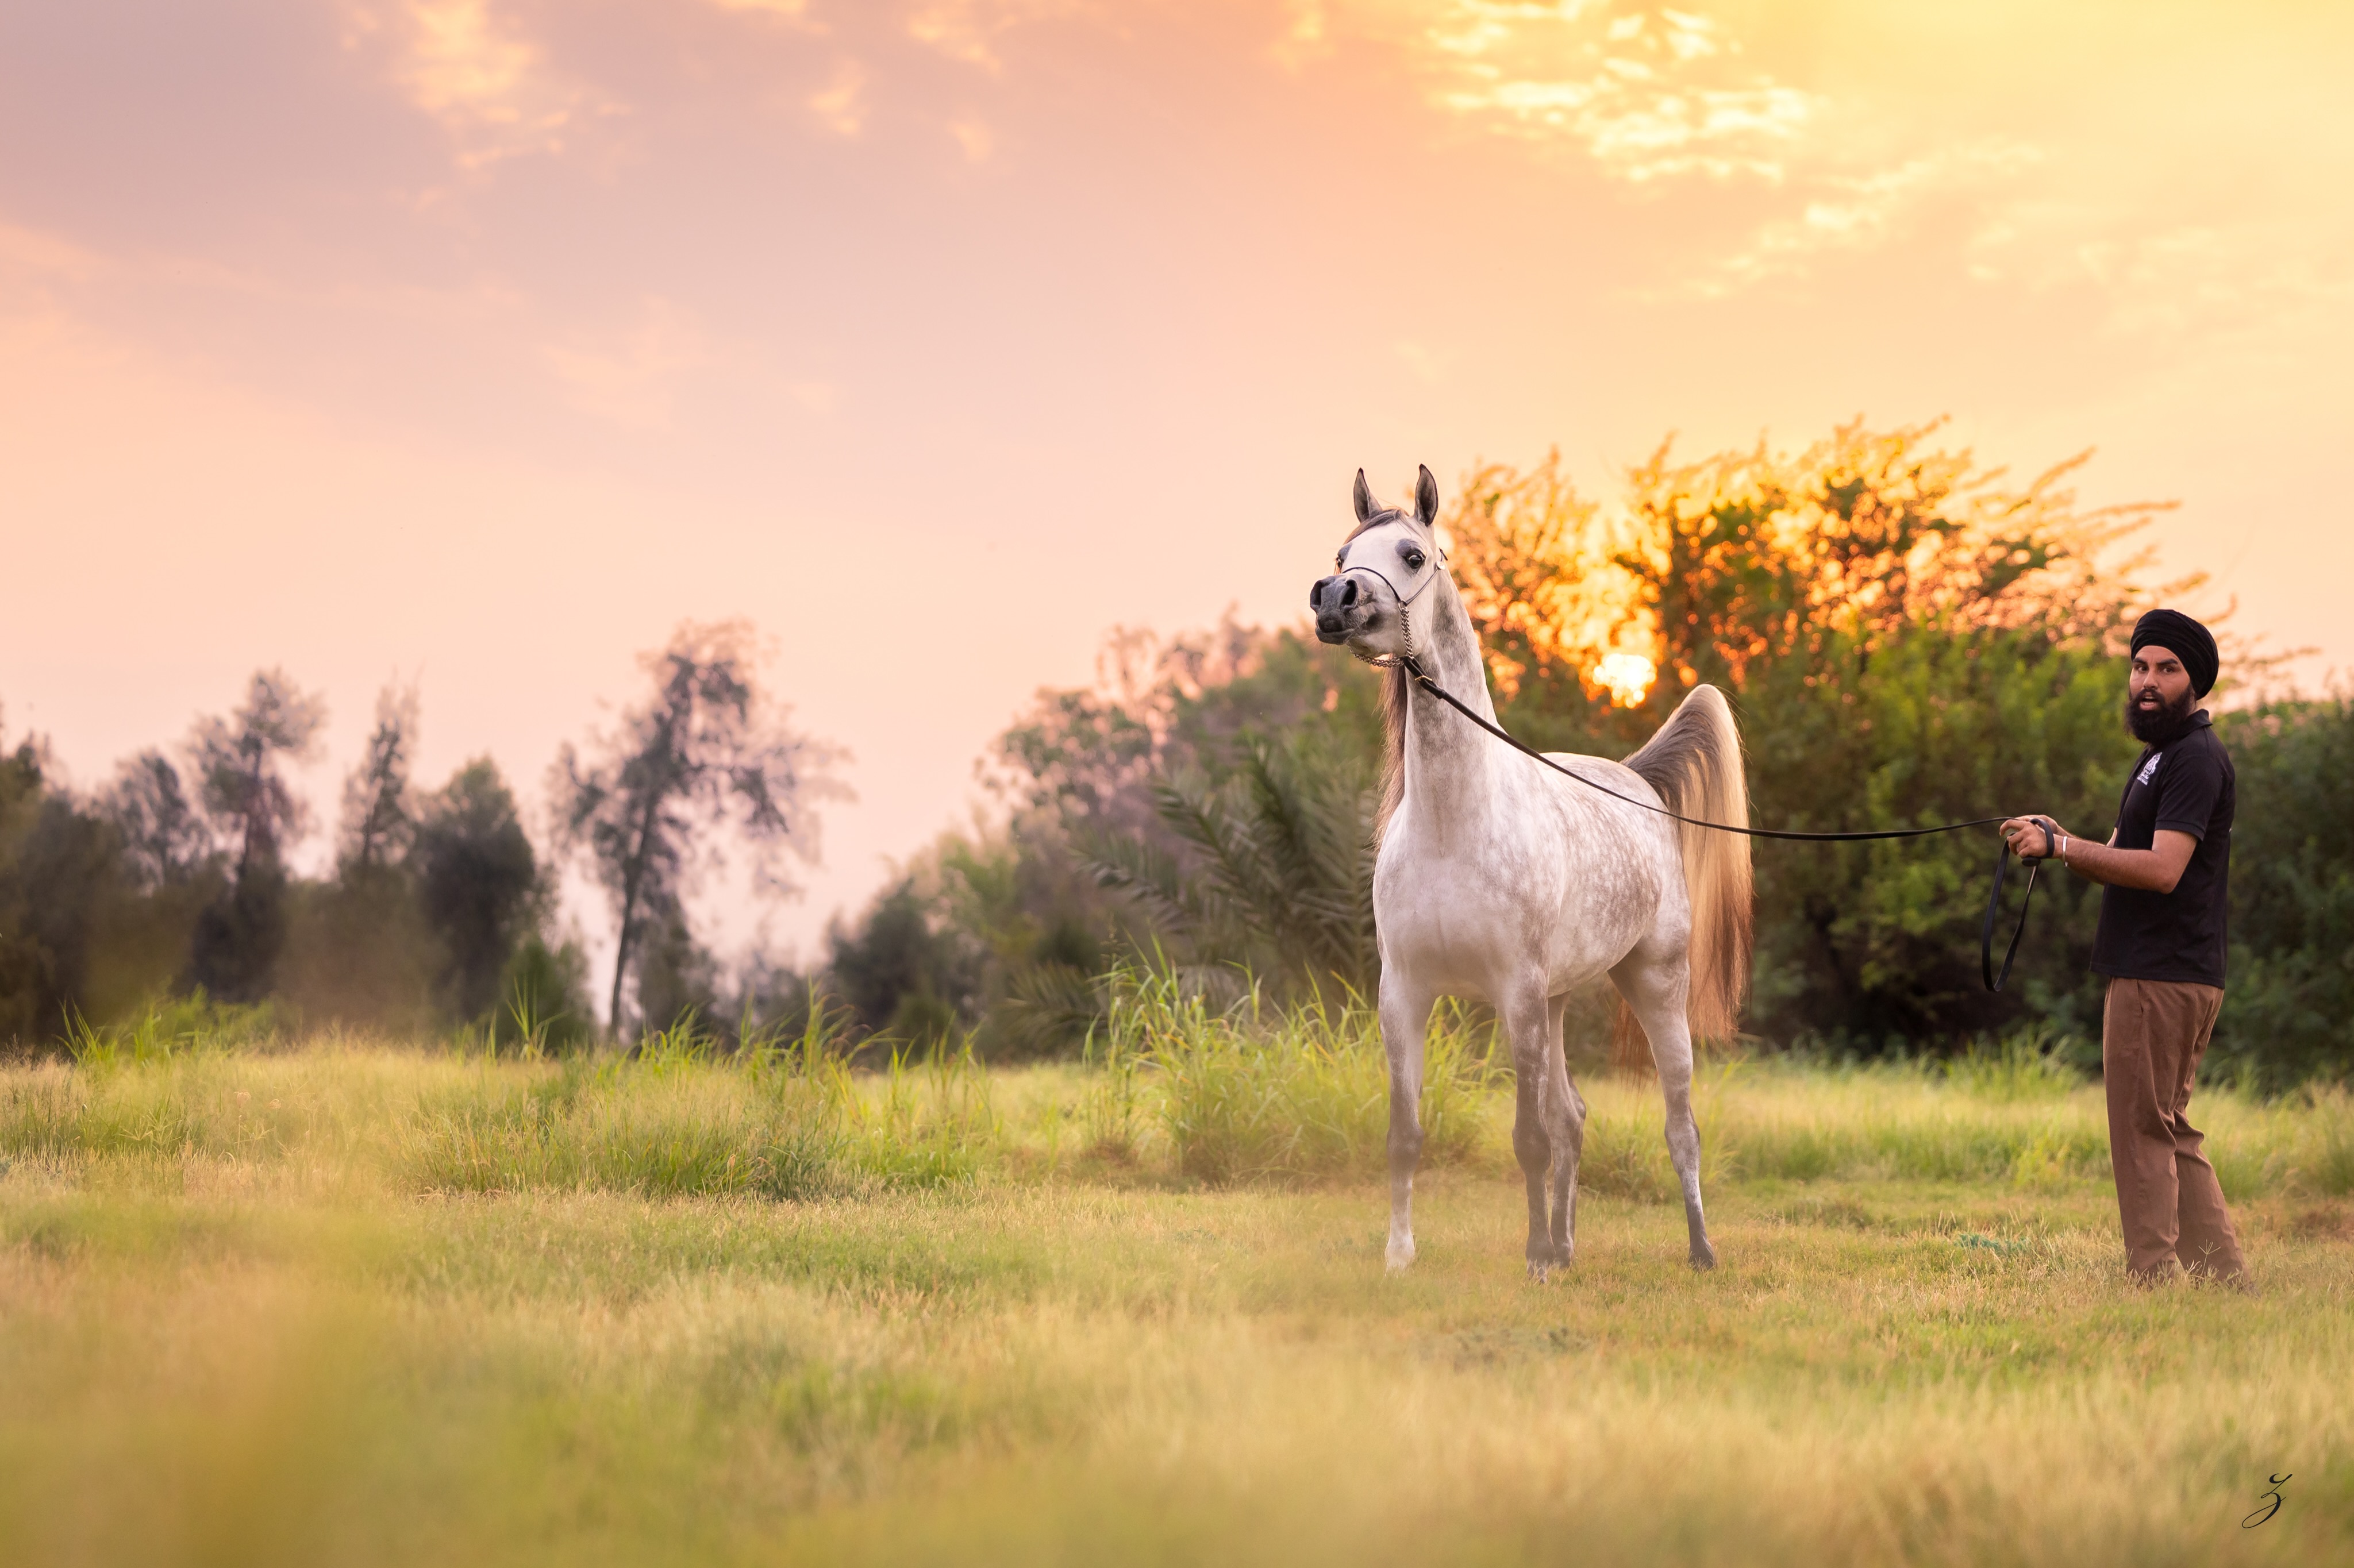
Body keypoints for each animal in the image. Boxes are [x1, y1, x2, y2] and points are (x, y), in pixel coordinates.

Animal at [1309, 465, 1752, 1279]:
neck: (1453, 823)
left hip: (1652, 986)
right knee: (1573, 1116)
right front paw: (1400, 1254)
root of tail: (1637, 780)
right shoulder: (1405, 997)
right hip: (1556, 1004)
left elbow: (1526, 1139)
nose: (1335, 599)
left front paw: (1535, 1257)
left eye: (1412, 555)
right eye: (1342, 553)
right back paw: (1571, 1245)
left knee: (1678, 1125)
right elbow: (1406, 1137)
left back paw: (1698, 1249)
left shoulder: (1513, 994)